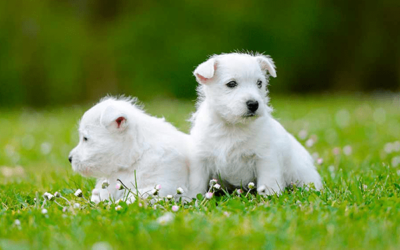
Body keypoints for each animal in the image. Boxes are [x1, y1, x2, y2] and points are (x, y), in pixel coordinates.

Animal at [189, 52, 324, 196]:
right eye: (231, 83)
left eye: (259, 83)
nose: (253, 104)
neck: (233, 126)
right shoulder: (201, 160)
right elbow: (197, 184)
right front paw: (192, 198)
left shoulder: (265, 158)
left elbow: (268, 182)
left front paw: (270, 197)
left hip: (302, 173)